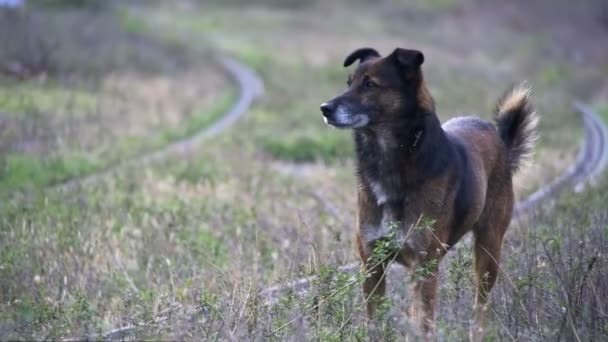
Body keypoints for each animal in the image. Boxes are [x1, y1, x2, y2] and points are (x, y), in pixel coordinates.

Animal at [318, 47, 536, 340]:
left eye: (370, 84)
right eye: (348, 82)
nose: (325, 109)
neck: (393, 159)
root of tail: (499, 139)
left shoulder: (425, 266)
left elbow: (425, 324)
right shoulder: (372, 263)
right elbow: (376, 321)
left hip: (488, 251)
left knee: (480, 305)